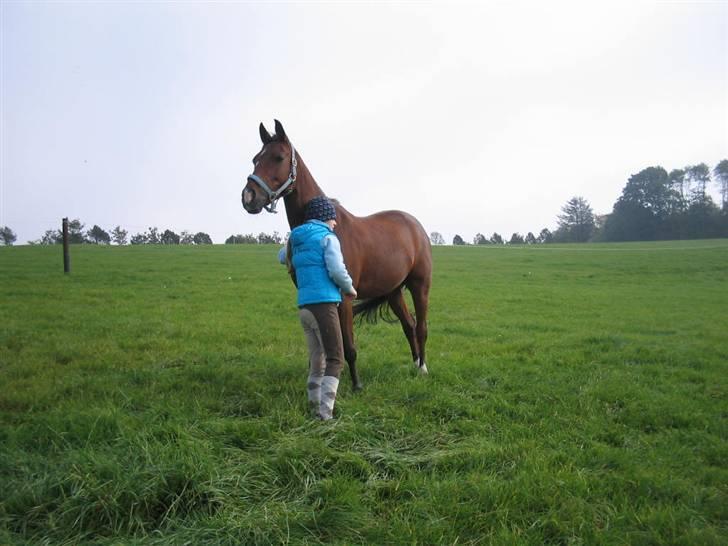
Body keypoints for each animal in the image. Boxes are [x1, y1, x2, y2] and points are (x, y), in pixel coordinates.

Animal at [239, 120, 432, 388]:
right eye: (255, 159)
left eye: (278, 157)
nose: (249, 197)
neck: (325, 226)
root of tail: (415, 225)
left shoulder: (345, 297)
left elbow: (348, 346)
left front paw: (355, 385)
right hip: (393, 291)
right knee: (409, 324)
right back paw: (414, 365)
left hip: (419, 285)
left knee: (421, 326)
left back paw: (423, 369)